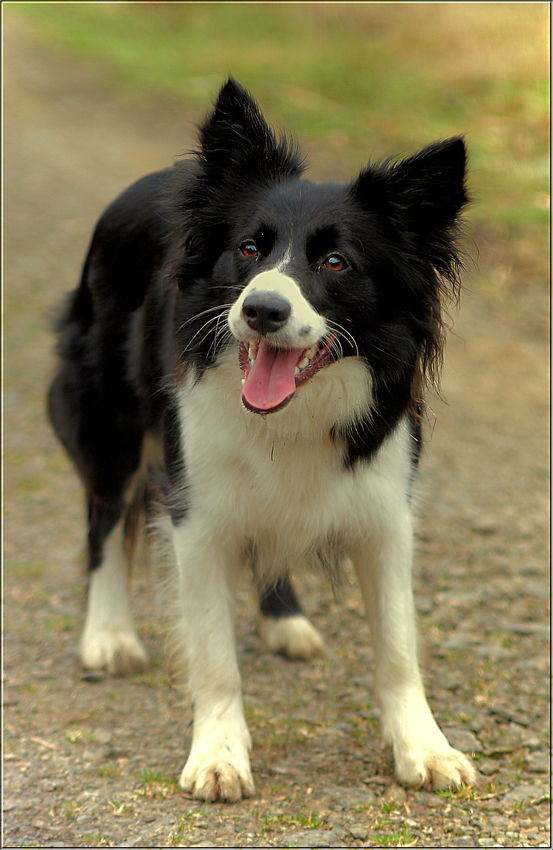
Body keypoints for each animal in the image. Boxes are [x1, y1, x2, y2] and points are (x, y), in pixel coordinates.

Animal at [47, 76, 474, 800]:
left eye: (336, 261)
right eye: (249, 249)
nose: (261, 309)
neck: (292, 412)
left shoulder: (384, 507)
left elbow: (398, 645)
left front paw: (425, 748)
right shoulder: (197, 511)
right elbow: (215, 653)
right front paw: (218, 756)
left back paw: (283, 619)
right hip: (107, 409)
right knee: (104, 514)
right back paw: (107, 635)